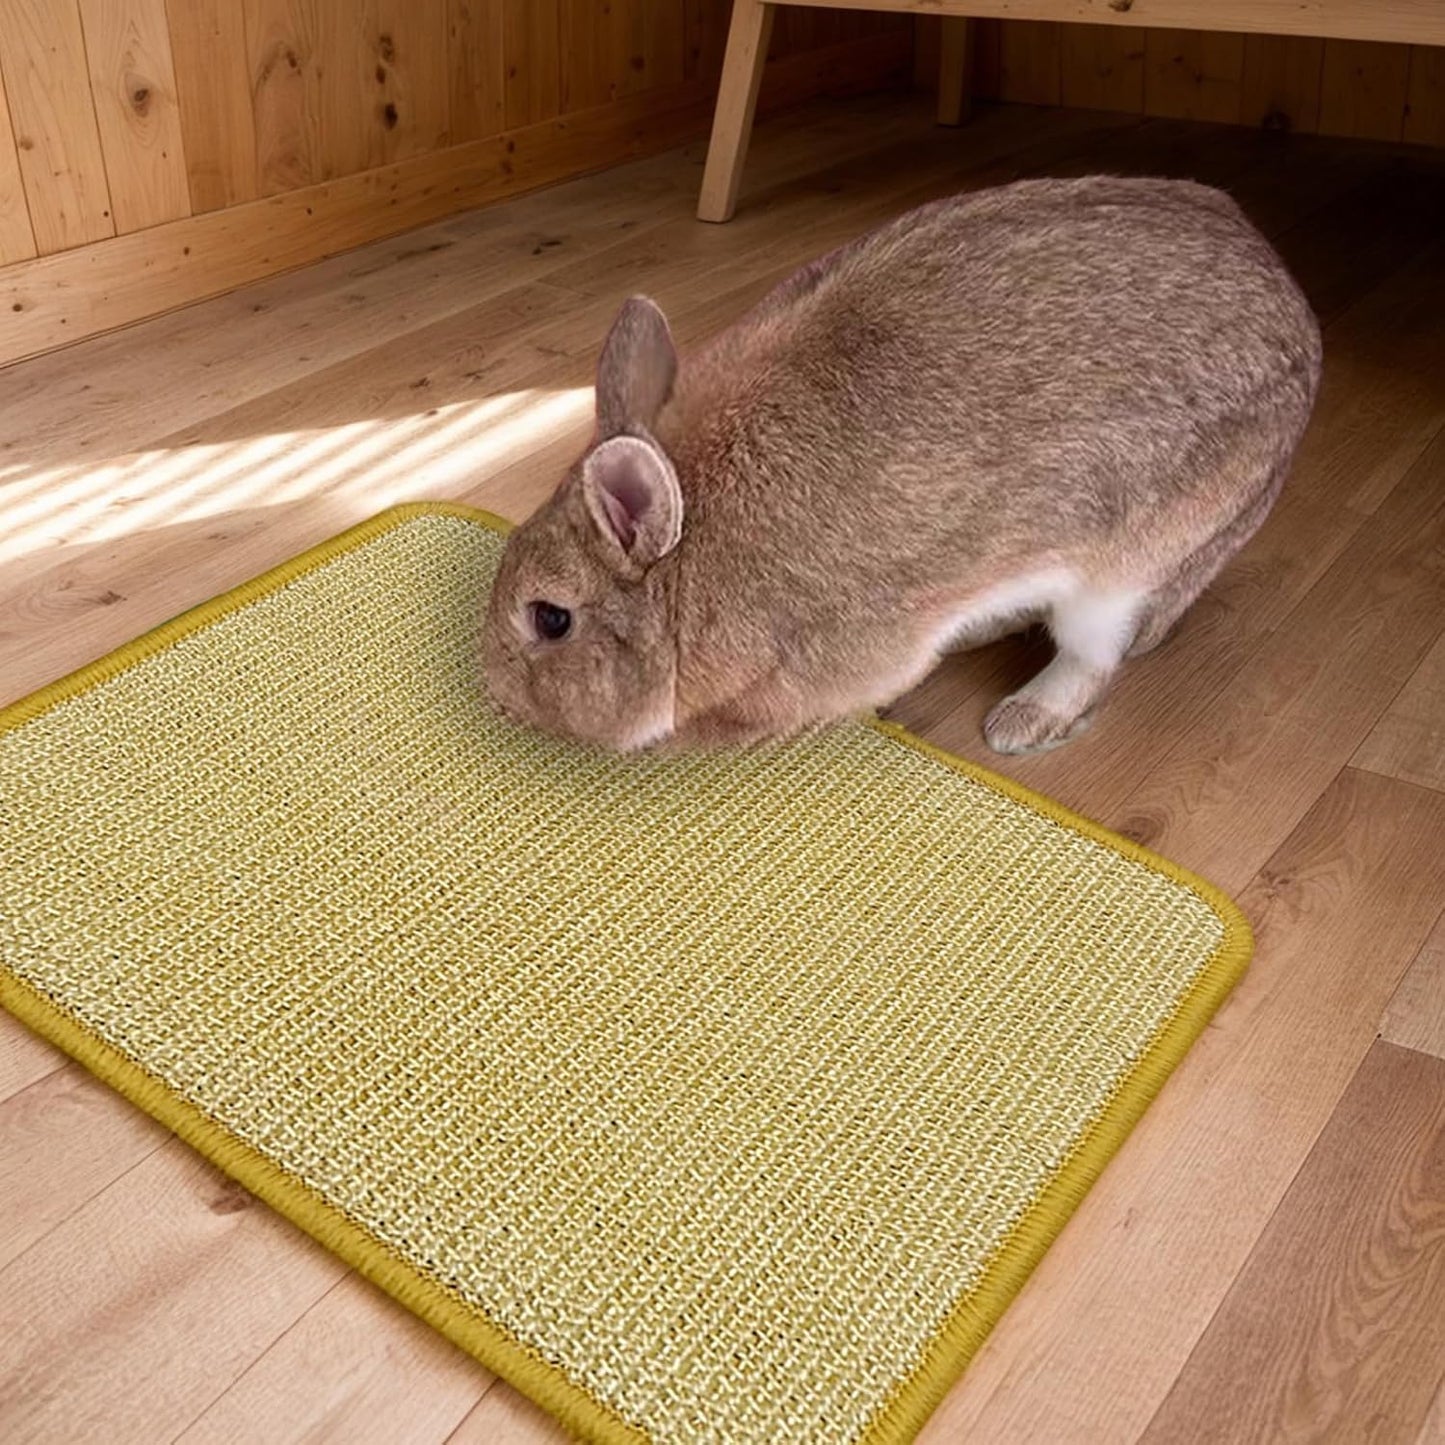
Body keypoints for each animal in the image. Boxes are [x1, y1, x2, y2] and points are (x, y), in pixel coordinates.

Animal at [483, 175, 1321, 756]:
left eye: (551, 618)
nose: (496, 695)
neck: (688, 569)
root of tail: (1298, 316)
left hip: (1130, 564)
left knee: (1094, 654)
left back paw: (1021, 722)